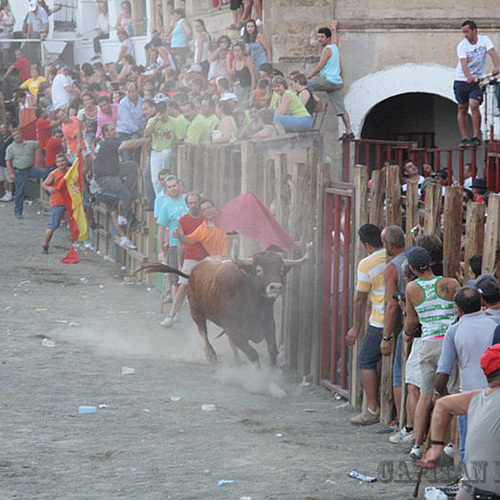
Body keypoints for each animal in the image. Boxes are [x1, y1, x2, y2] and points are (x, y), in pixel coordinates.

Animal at [139, 244, 310, 366]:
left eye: (281, 270)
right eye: (258, 270)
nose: (276, 287)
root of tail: (193, 272)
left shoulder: (268, 324)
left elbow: (272, 351)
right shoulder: (232, 326)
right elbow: (252, 353)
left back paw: (236, 360)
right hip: (196, 312)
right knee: (203, 332)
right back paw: (211, 355)